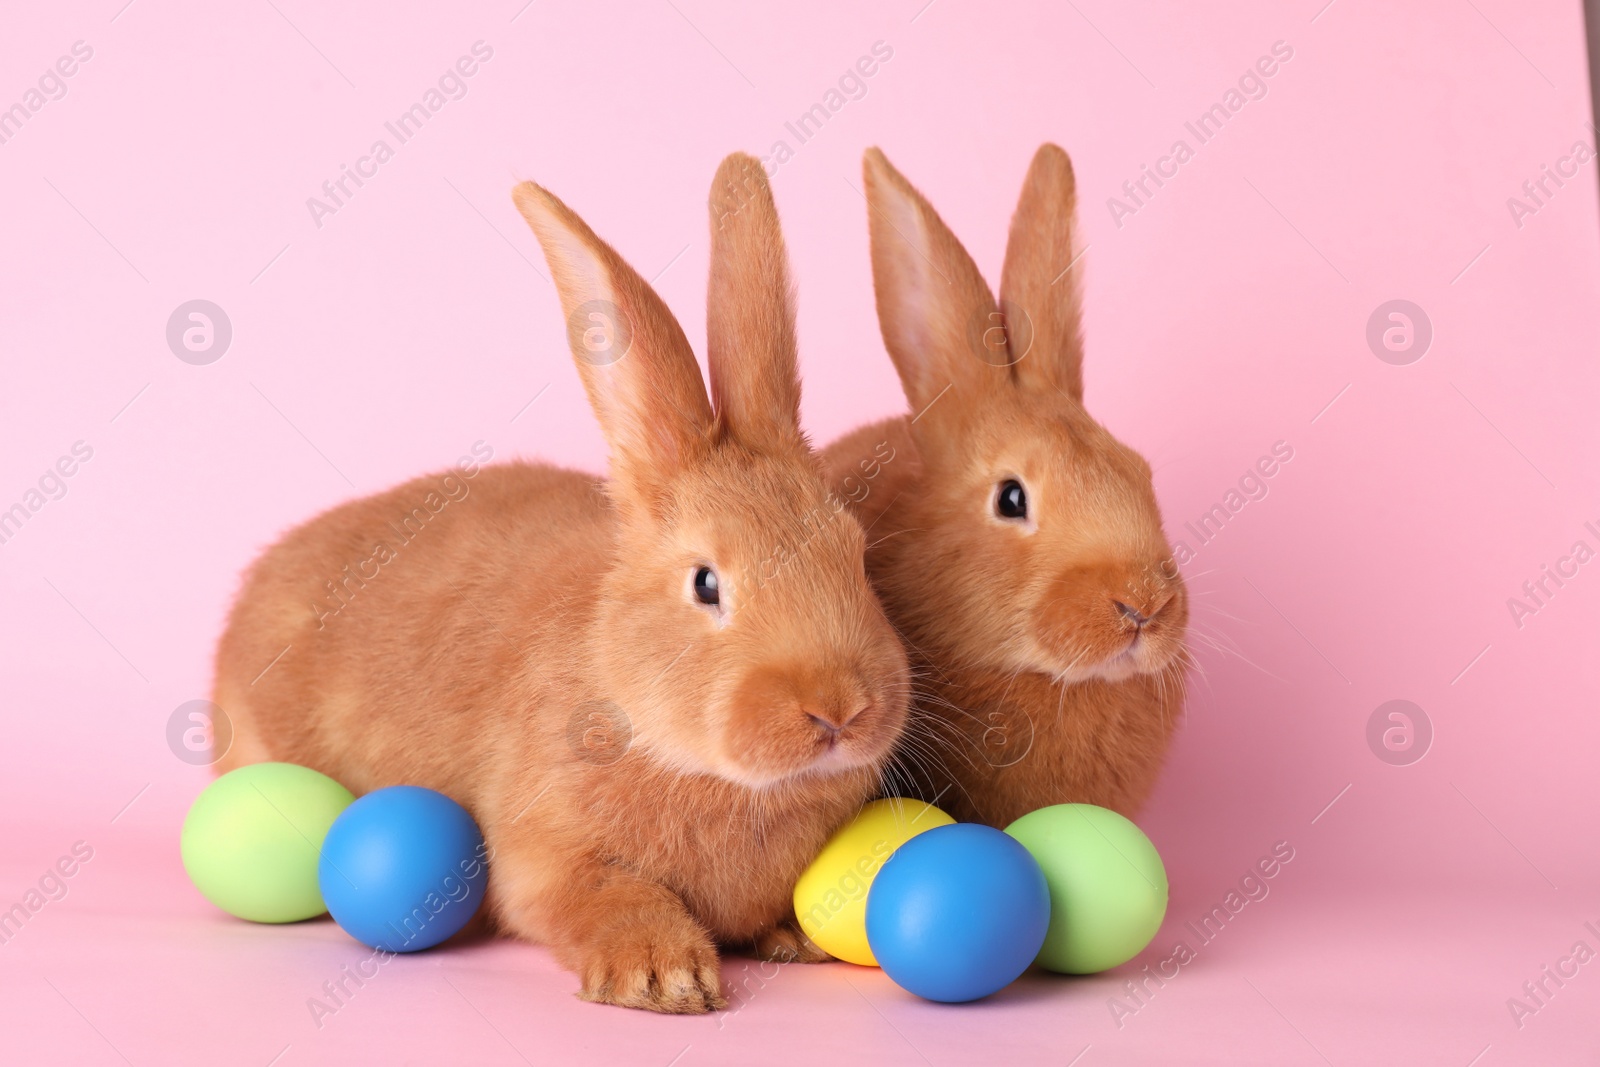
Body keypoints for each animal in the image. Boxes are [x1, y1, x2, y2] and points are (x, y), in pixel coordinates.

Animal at [212, 154, 915, 1017]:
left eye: (856, 554)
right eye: (706, 583)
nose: (840, 709)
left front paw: (789, 937)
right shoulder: (543, 855)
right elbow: (598, 894)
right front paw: (663, 975)